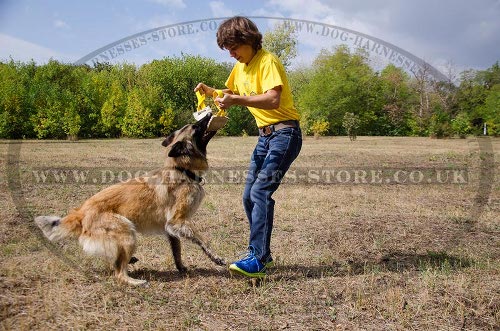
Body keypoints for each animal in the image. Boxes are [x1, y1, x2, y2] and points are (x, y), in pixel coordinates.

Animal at [36, 114, 227, 286]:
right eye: (195, 127)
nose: (210, 113)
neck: (181, 169)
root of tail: (81, 212)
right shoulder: (178, 221)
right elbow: (202, 239)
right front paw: (216, 258)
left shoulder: (171, 228)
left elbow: (177, 251)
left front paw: (182, 268)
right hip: (127, 231)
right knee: (118, 273)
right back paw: (136, 281)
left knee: (115, 262)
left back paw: (130, 261)